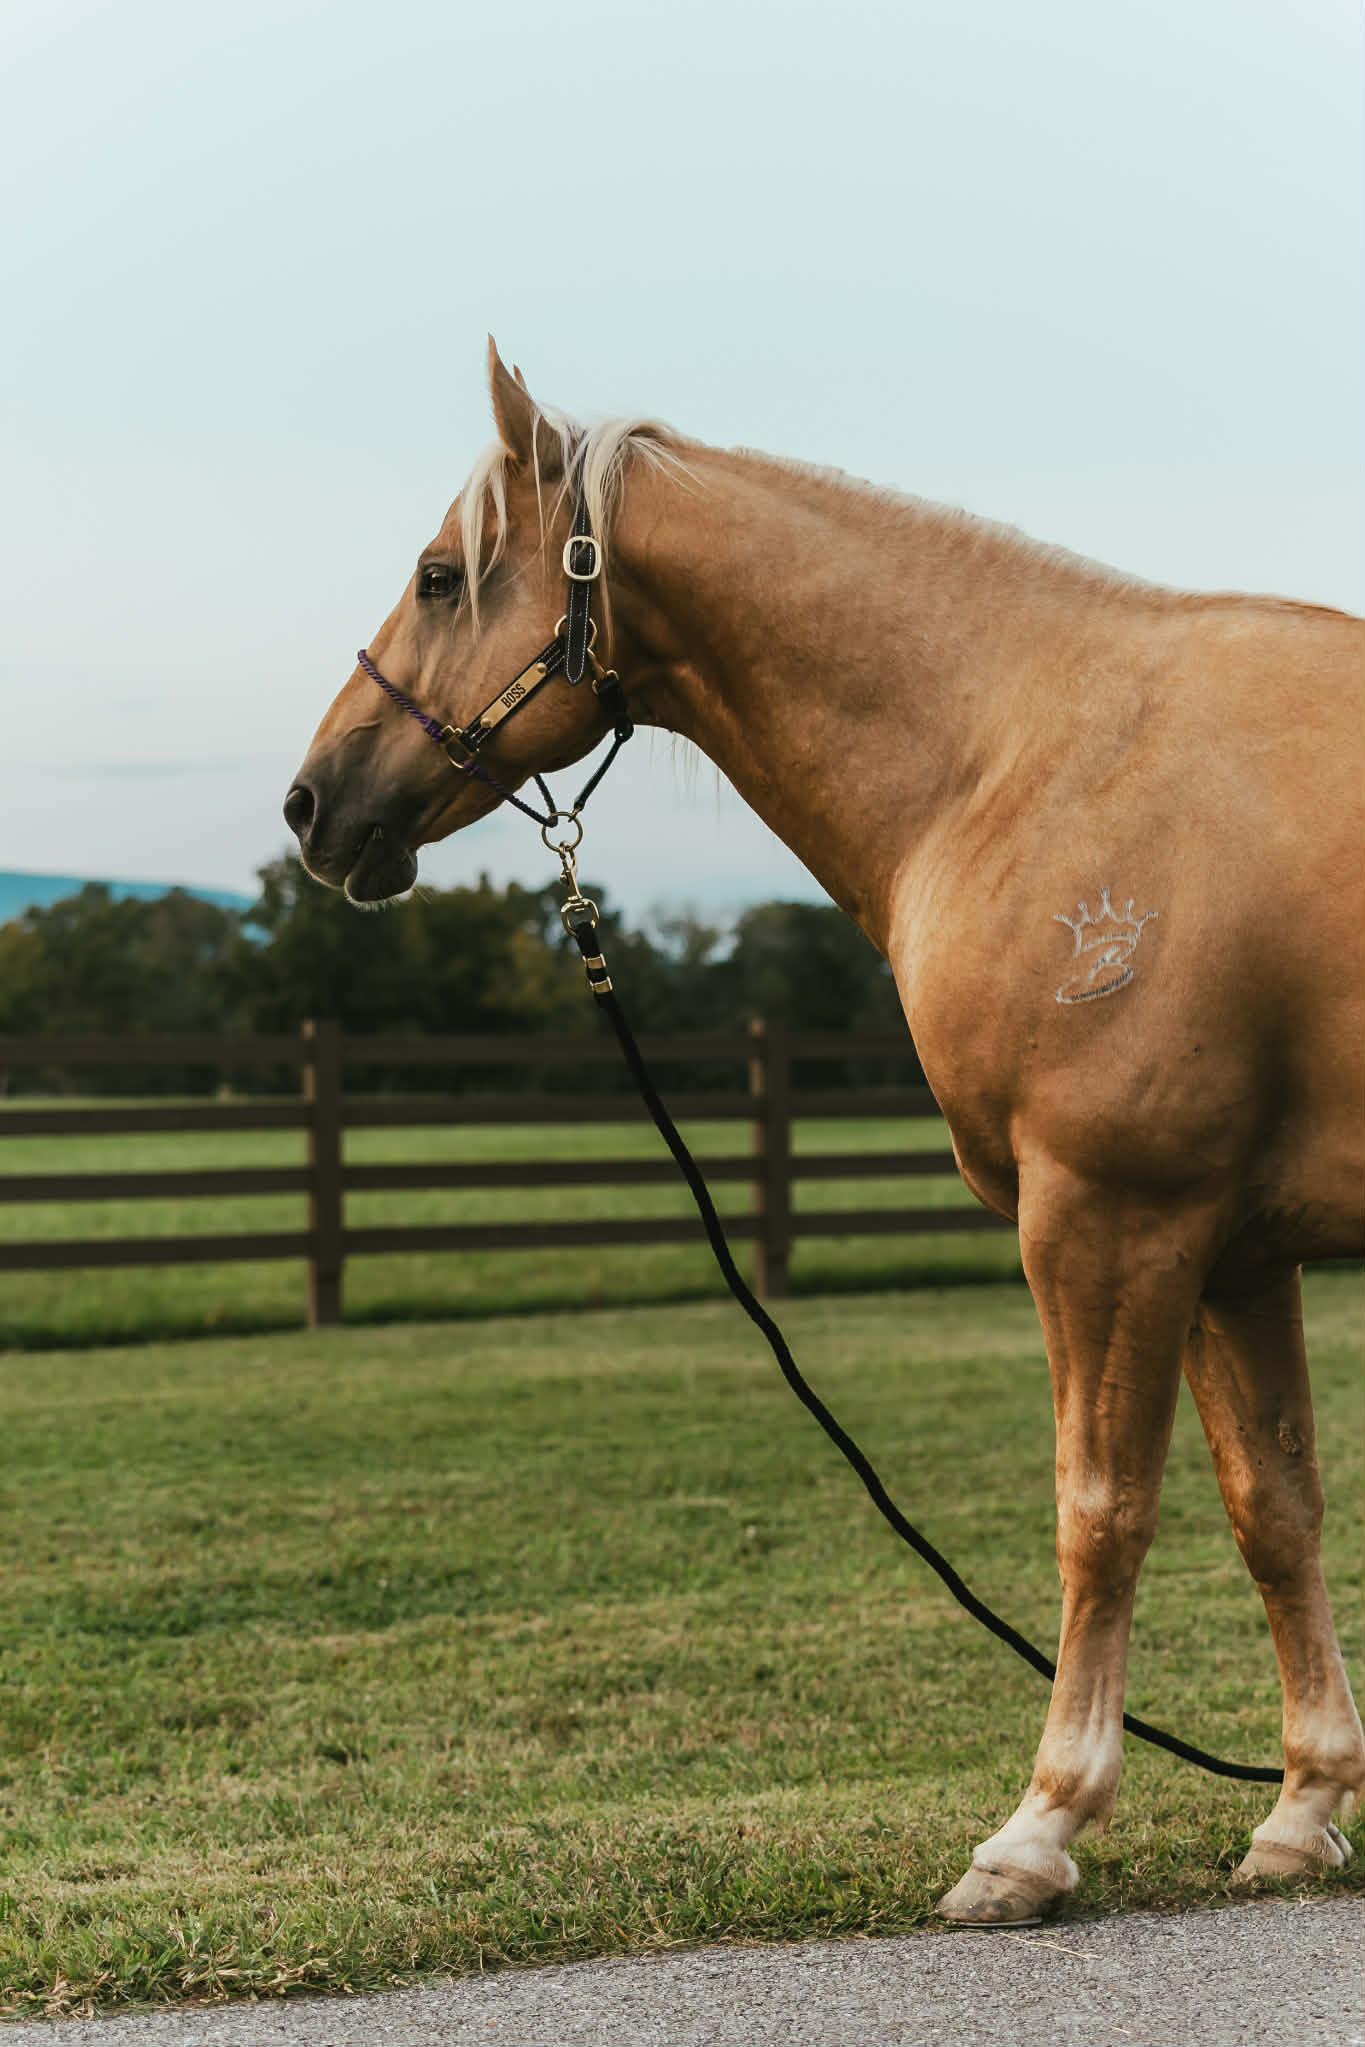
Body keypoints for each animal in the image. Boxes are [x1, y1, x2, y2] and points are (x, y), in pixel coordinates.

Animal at [285, 340, 1364, 1924]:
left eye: (437, 578)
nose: (313, 803)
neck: (1024, 754)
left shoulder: (1111, 1221)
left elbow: (1098, 1512)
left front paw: (1037, 1826)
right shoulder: (1232, 1249)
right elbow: (1272, 1507)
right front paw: (1302, 1806)